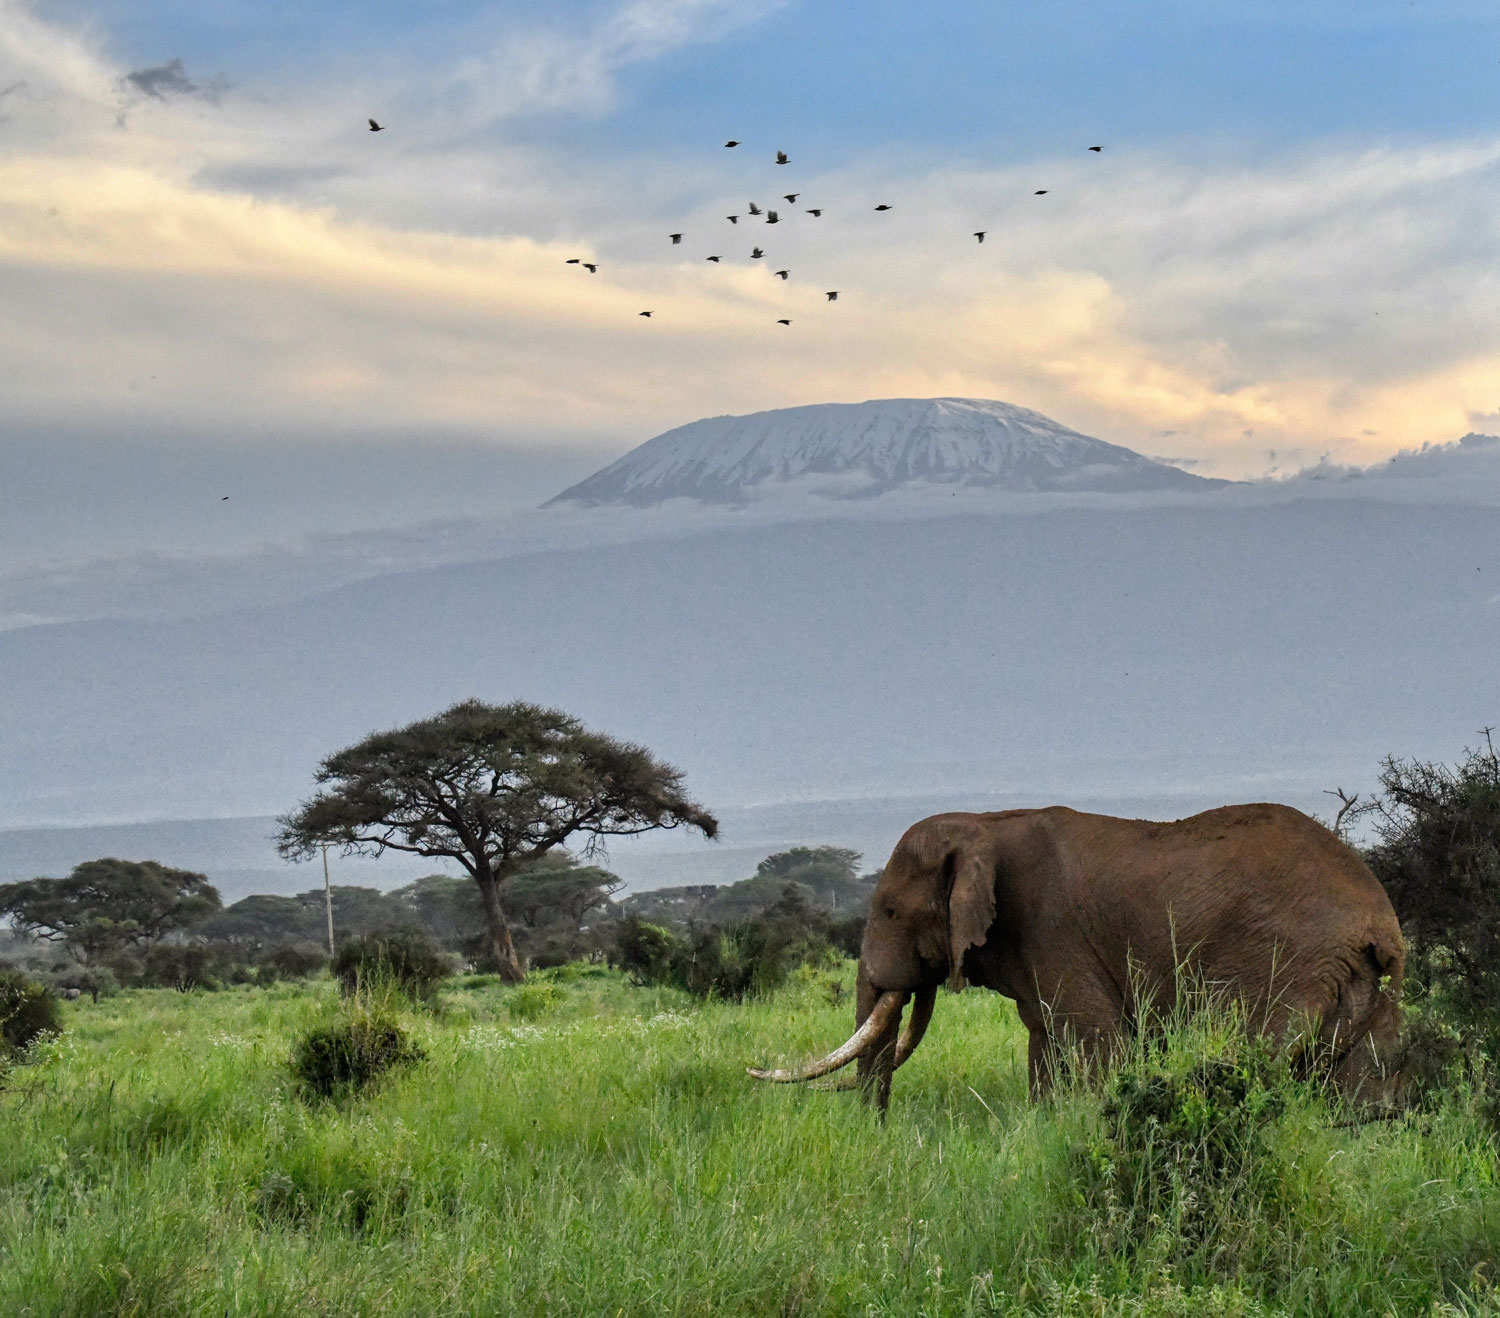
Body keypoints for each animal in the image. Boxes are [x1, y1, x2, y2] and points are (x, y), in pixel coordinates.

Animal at [750, 804, 1404, 1110]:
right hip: (1362, 983)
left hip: (1289, 966)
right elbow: (1044, 1048)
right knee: (1363, 1084)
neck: (984, 823)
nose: (878, 1135)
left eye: (888, 911)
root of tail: (1380, 921)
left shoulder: (1053, 929)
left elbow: (1093, 1046)